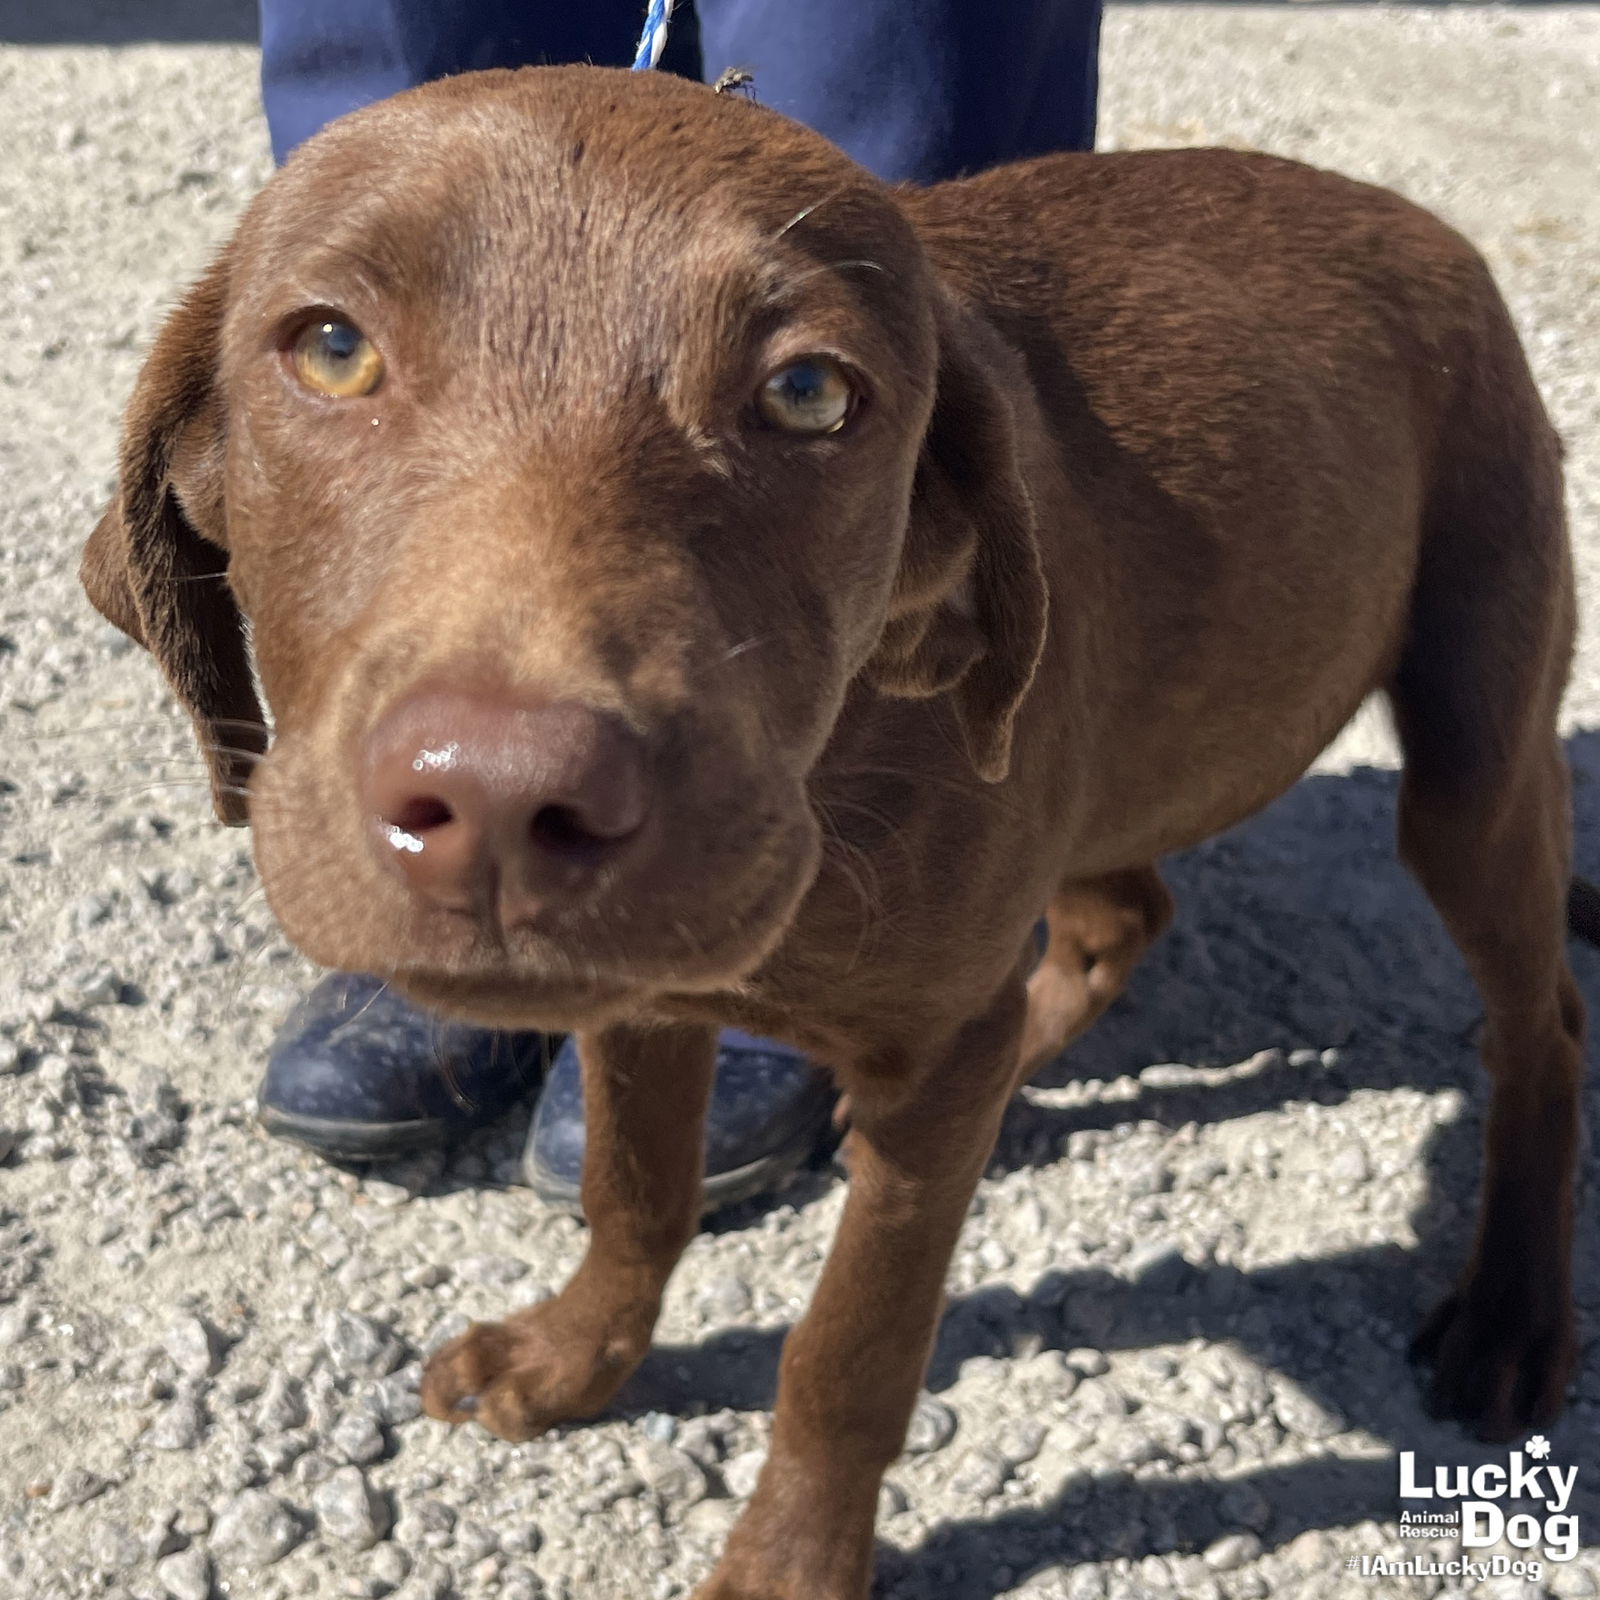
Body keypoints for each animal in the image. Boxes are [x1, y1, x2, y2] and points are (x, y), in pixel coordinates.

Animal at [81, 72, 1580, 1600]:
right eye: (331, 349)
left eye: (807, 394)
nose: (501, 800)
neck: (835, 769)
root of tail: (1422, 225)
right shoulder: (646, 997)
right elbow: (634, 1192)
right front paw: (572, 1359)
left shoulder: (900, 1062)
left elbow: (851, 1351)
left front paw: (791, 1556)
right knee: (1117, 919)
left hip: (1470, 747)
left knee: (1542, 1022)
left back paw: (1511, 1311)